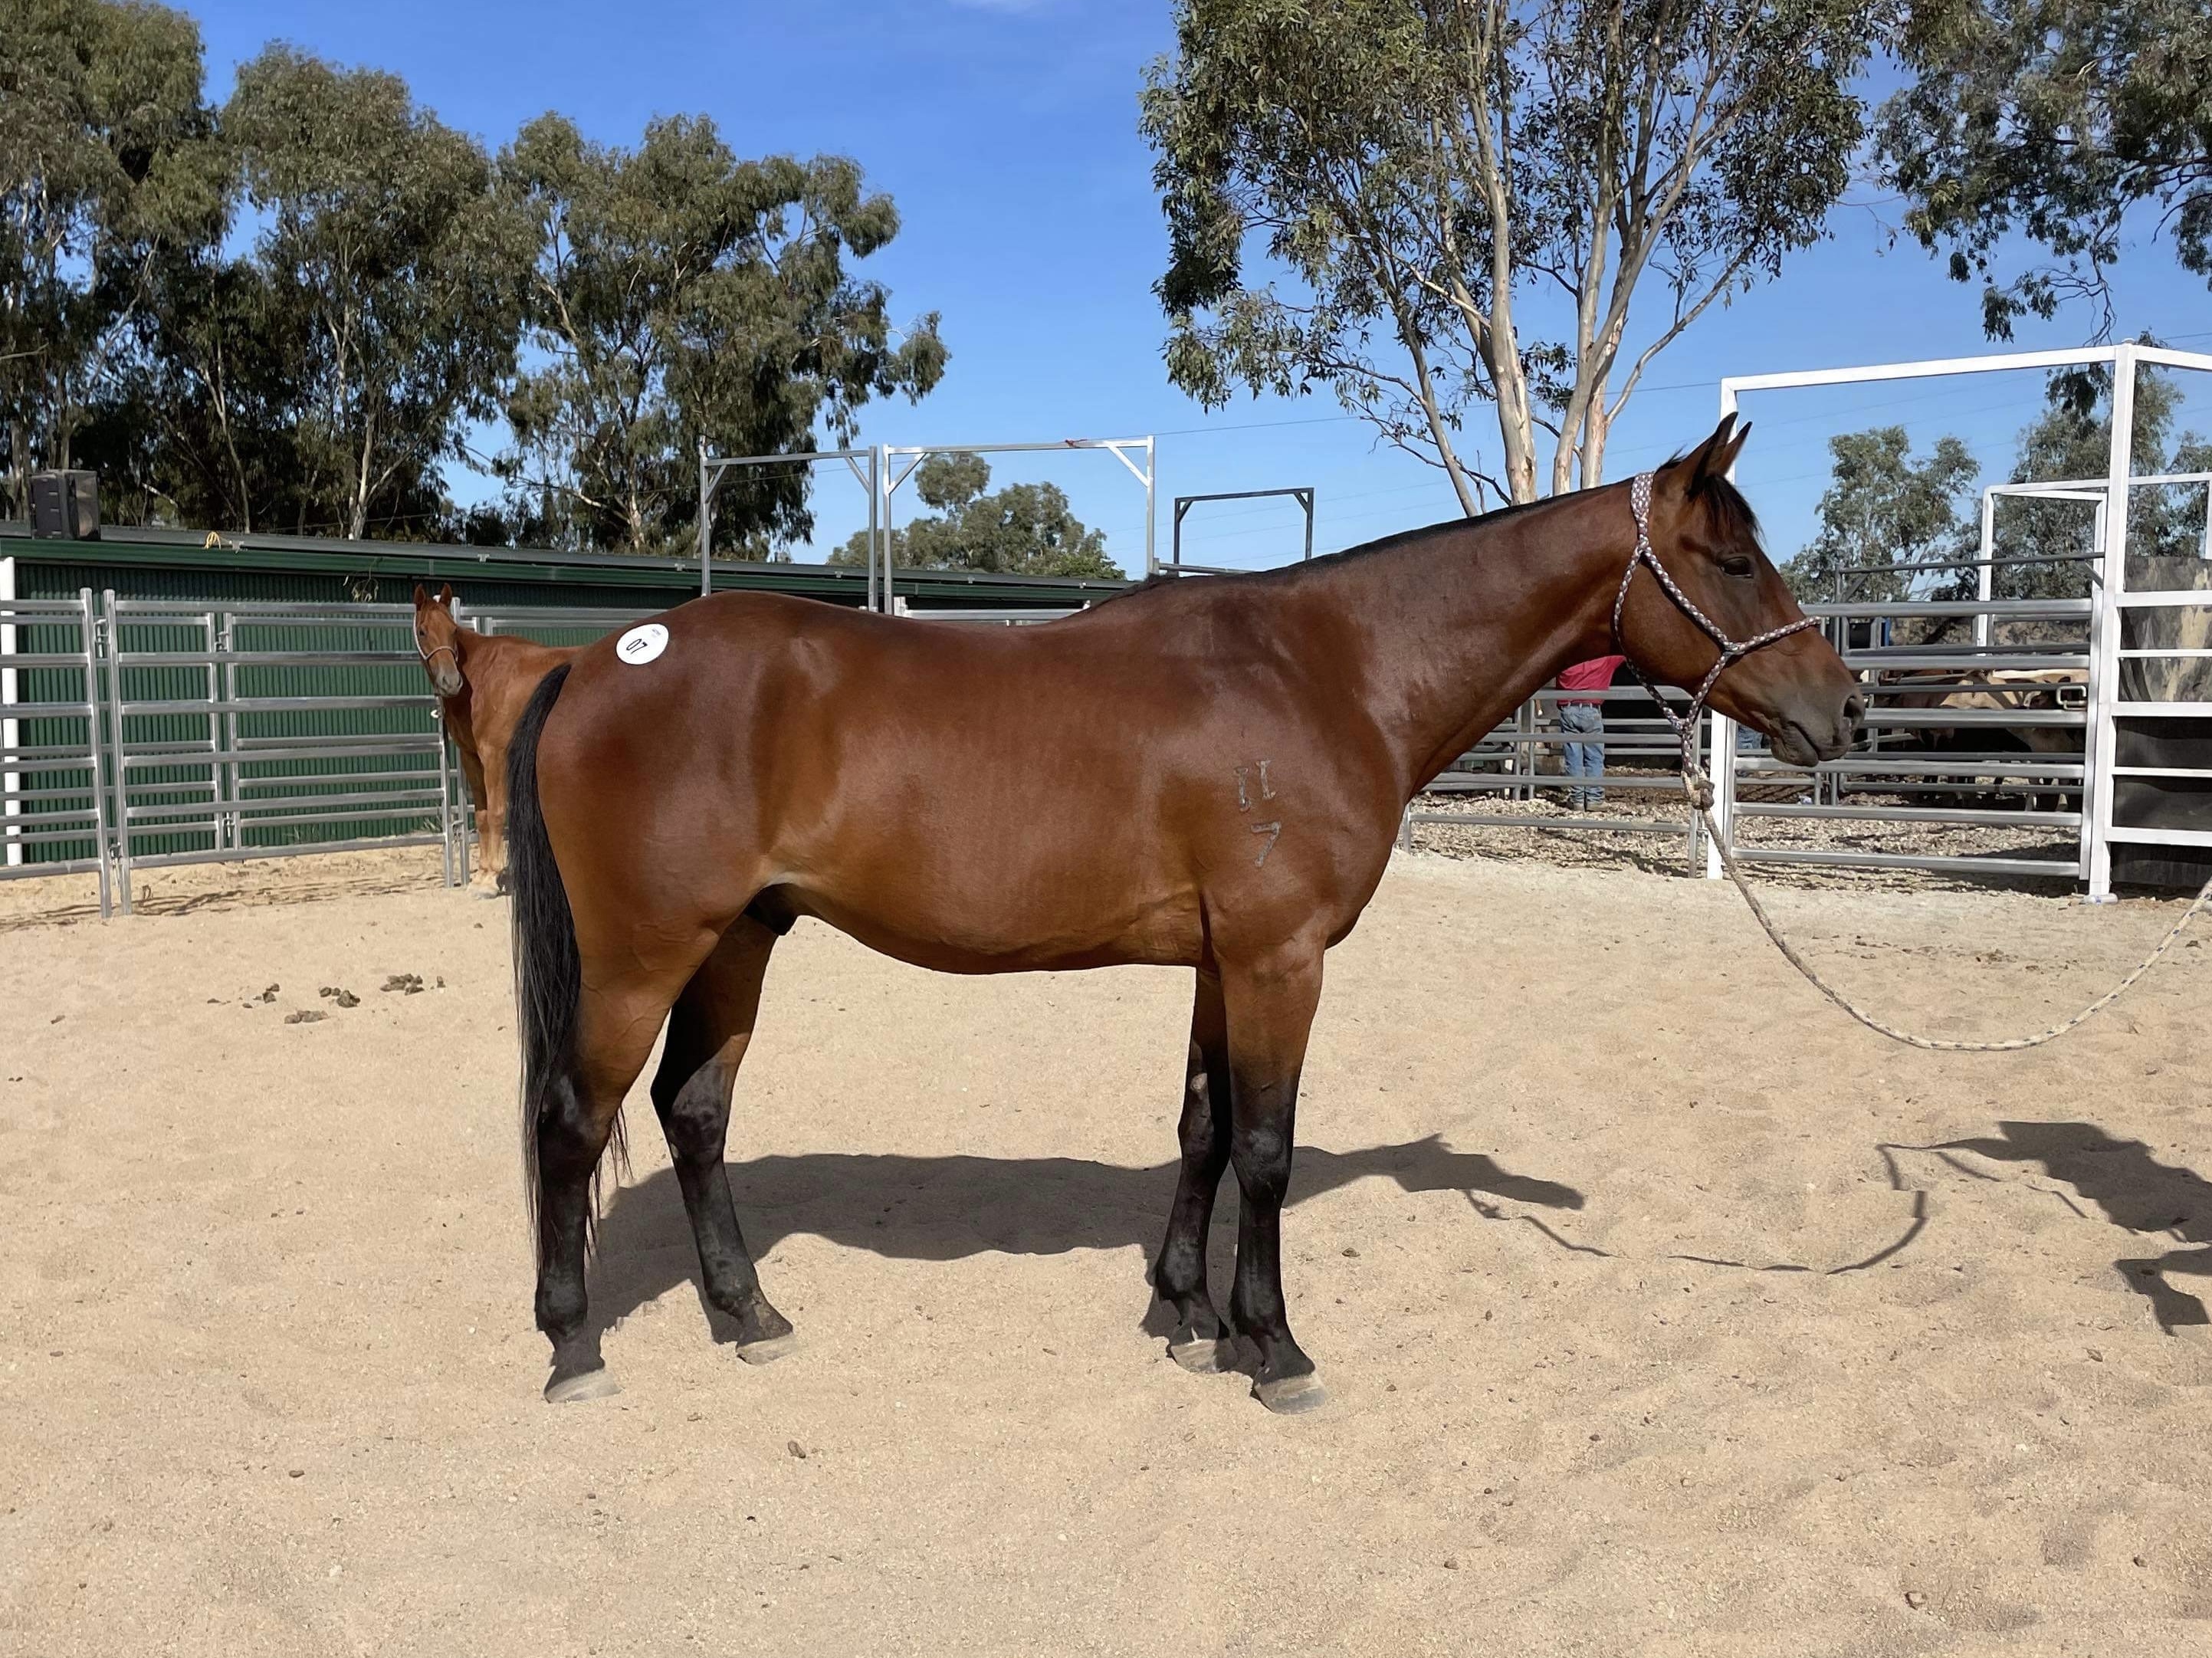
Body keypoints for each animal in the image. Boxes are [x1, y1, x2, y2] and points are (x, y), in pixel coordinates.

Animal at [411, 585, 576, 894]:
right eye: (423, 631)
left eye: (453, 630)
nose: (451, 682)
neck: (483, 676)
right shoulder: (472, 758)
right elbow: (483, 814)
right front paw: (483, 874)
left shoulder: (495, 755)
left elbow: (498, 812)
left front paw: (491, 880)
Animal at [500, 416, 1862, 1412]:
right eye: (1731, 561)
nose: (1843, 709)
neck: (1325, 669)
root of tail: (595, 658)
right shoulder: (1279, 958)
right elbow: (1263, 1145)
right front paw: (1272, 1344)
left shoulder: (1223, 959)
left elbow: (1202, 1128)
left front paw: (1183, 1312)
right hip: (643, 956)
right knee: (573, 1120)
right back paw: (571, 1346)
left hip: (738, 939)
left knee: (693, 1111)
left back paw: (748, 1314)